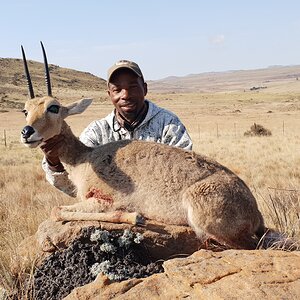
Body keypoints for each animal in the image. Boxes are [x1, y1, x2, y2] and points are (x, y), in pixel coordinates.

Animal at [19, 42, 266, 248]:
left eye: (53, 107)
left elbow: (57, 210)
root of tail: (254, 209)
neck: (85, 158)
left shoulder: (102, 201)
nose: (27, 132)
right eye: (25, 110)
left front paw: (135, 216)